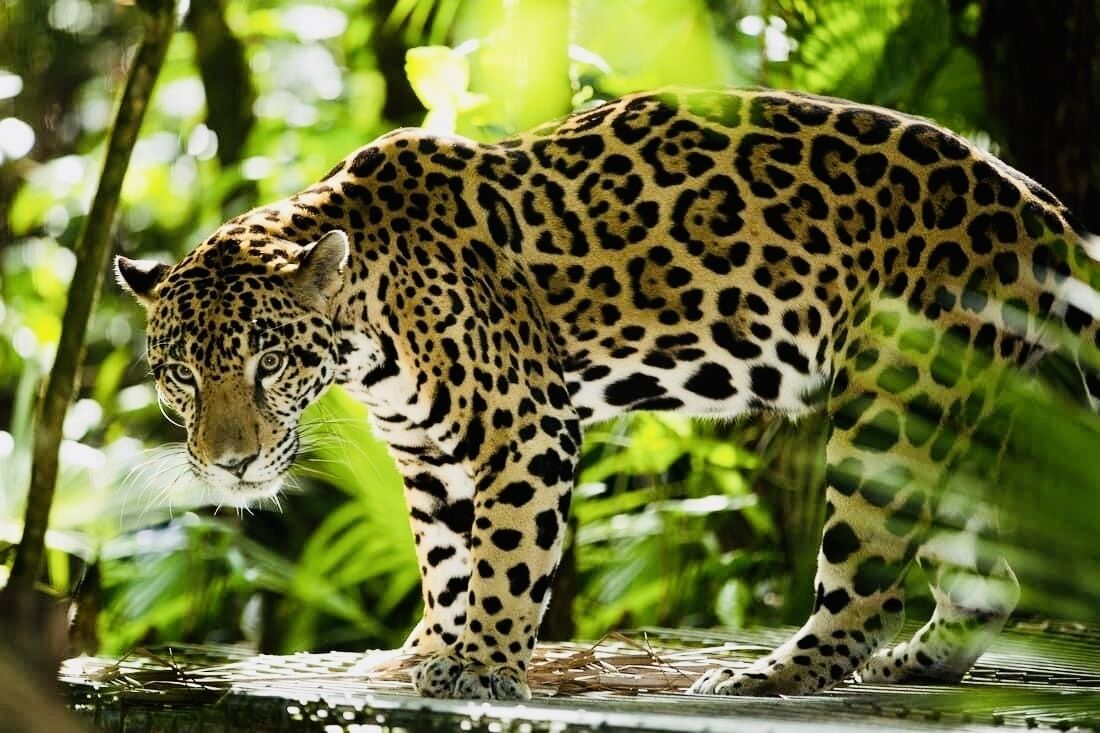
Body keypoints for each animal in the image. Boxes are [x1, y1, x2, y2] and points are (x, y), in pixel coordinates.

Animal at [116, 87, 1100, 700]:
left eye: (268, 362)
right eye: (181, 375)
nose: (232, 464)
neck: (367, 327)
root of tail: (1040, 205)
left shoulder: (524, 425)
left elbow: (506, 558)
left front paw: (482, 664)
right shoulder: (429, 461)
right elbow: (445, 561)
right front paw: (428, 649)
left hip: (894, 411)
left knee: (863, 587)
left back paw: (766, 676)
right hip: (966, 418)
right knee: (993, 579)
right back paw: (915, 664)